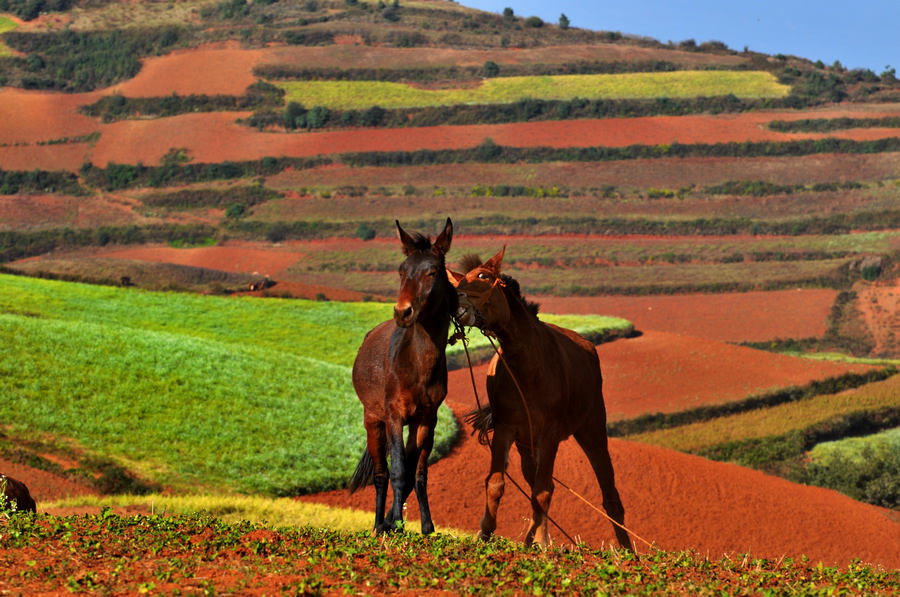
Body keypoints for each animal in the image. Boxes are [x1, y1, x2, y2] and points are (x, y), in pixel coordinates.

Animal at [346, 217, 458, 532]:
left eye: (432, 272)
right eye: (401, 271)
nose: (402, 312)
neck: (417, 365)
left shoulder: (427, 419)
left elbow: (417, 473)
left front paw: (426, 527)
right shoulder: (394, 415)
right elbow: (396, 470)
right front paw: (394, 523)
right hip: (373, 420)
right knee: (381, 474)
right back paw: (378, 526)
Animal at [450, 247, 632, 548]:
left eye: (484, 276)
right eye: (457, 280)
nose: (456, 301)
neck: (529, 367)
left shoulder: (550, 435)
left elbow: (543, 491)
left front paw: (544, 543)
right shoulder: (506, 430)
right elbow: (497, 482)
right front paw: (485, 532)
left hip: (592, 432)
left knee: (609, 495)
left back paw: (628, 550)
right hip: (527, 444)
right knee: (534, 483)